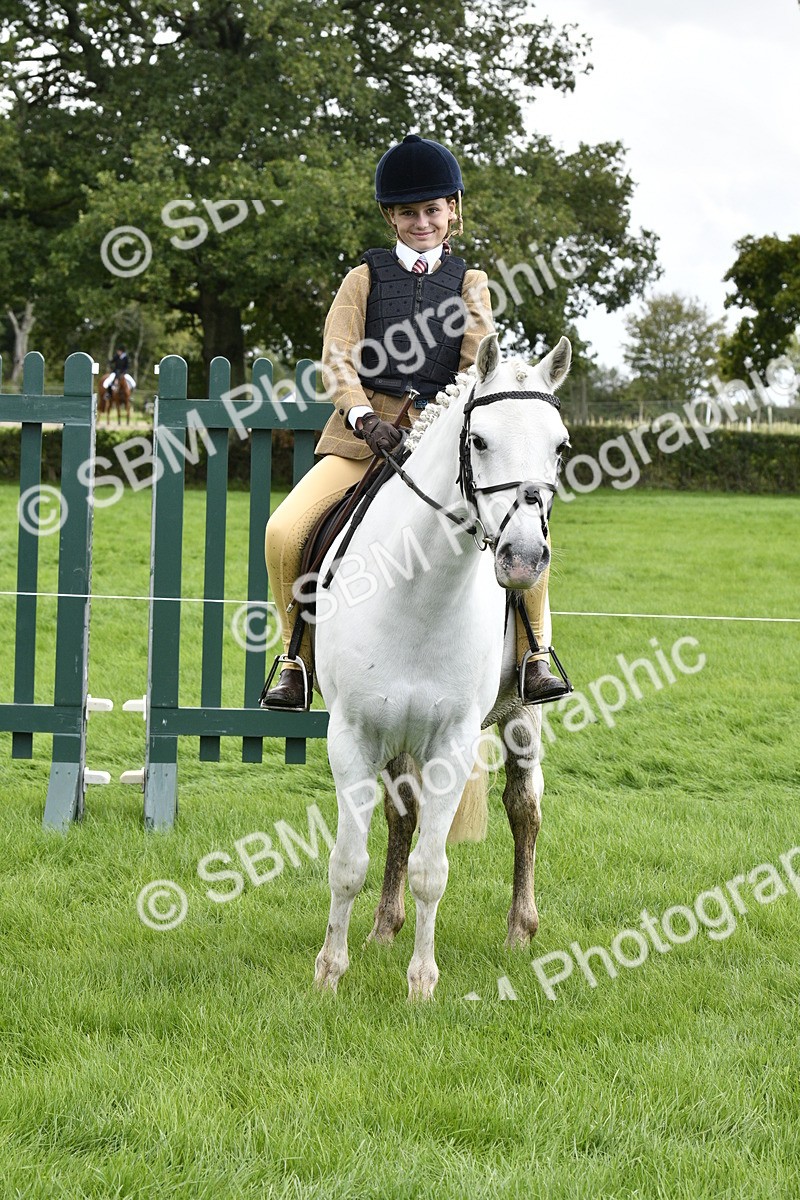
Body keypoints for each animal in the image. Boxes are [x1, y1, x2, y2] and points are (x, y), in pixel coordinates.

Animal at [312, 331, 572, 1000]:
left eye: (560, 446)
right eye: (478, 440)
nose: (523, 557)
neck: (419, 594)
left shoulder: (452, 743)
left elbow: (432, 869)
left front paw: (422, 984)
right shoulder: (352, 736)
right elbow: (347, 862)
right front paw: (330, 972)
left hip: (521, 718)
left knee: (524, 810)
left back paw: (519, 930)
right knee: (401, 817)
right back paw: (383, 927)